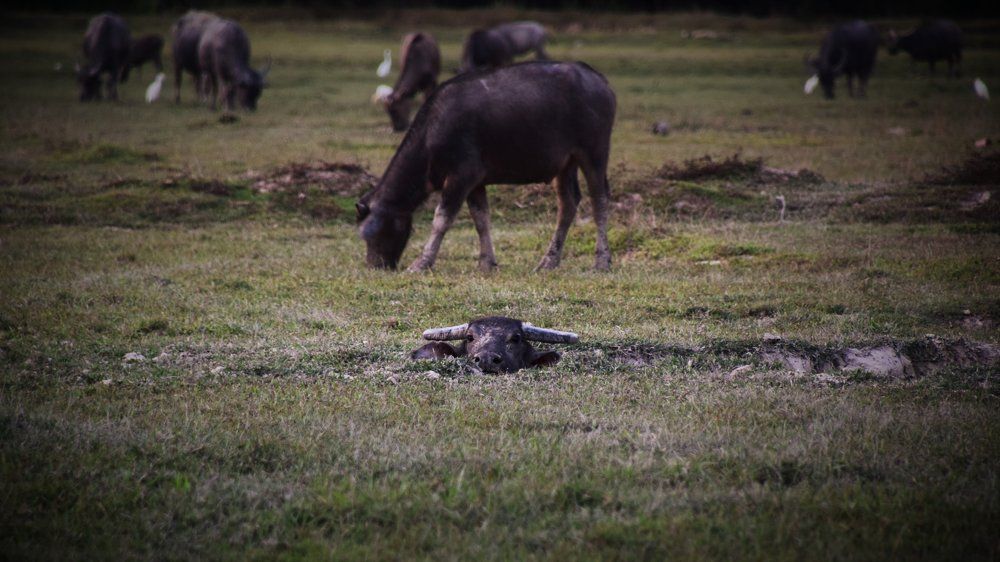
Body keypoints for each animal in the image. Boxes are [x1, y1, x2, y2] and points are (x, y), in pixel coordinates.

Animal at [356, 61, 616, 272]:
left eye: (369, 235)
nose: (375, 265)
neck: (433, 132)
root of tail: (599, 80)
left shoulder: (461, 176)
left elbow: (442, 219)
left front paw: (422, 262)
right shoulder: (475, 182)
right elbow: (481, 219)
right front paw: (486, 262)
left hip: (594, 152)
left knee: (599, 201)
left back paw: (602, 261)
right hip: (565, 163)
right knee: (568, 203)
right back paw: (548, 261)